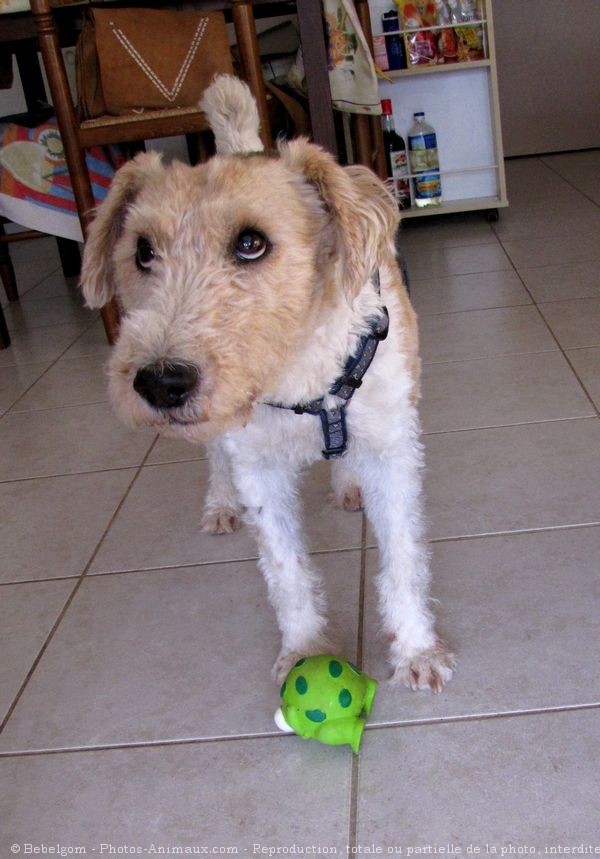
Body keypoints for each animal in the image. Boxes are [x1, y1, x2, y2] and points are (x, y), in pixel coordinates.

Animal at [81, 74, 454, 692]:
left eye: (251, 243)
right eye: (142, 251)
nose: (159, 383)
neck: (298, 372)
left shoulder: (392, 448)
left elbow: (402, 556)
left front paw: (416, 650)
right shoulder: (258, 467)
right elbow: (286, 569)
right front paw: (305, 651)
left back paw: (347, 483)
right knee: (214, 459)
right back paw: (219, 503)